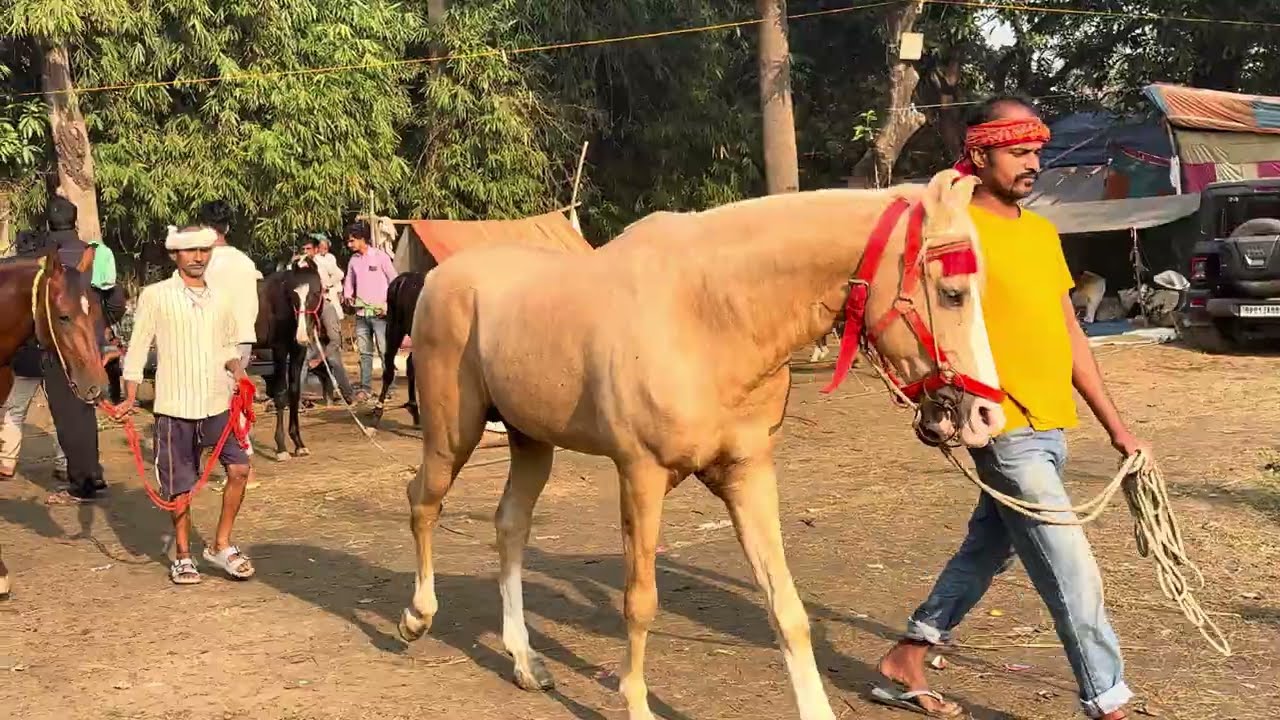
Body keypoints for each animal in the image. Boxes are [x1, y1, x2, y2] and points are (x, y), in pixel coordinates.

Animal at [253, 257, 328, 461]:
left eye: (316, 292)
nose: (302, 335)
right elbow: (280, 394)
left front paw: (299, 443)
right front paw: (281, 447)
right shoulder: (279, 349)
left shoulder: (298, 350)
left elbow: (294, 391)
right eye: (292, 296)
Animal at [370, 270, 425, 429]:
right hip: (394, 329)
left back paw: (414, 409)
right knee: (389, 368)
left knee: (410, 364)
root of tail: (403, 279)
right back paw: (378, 411)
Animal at [396, 169, 1006, 720]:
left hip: (530, 441)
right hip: (453, 434)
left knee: (510, 526)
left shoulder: (748, 472)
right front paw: (637, 706)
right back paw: (416, 617)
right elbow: (640, 602)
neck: (709, 315)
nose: (985, 415)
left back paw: (525, 661)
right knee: (423, 501)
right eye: (952, 294)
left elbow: (786, 606)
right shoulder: (640, 474)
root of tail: (437, 279)